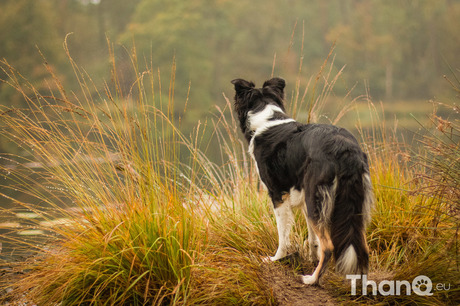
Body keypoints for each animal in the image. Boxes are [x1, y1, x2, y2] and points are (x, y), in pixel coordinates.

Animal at [230, 77, 374, 286]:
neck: (267, 117)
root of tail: (344, 147)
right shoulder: (303, 196)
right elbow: (313, 239)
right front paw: (311, 258)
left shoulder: (278, 194)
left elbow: (283, 235)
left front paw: (276, 258)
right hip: (349, 201)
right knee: (362, 246)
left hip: (316, 196)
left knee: (329, 246)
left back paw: (312, 279)